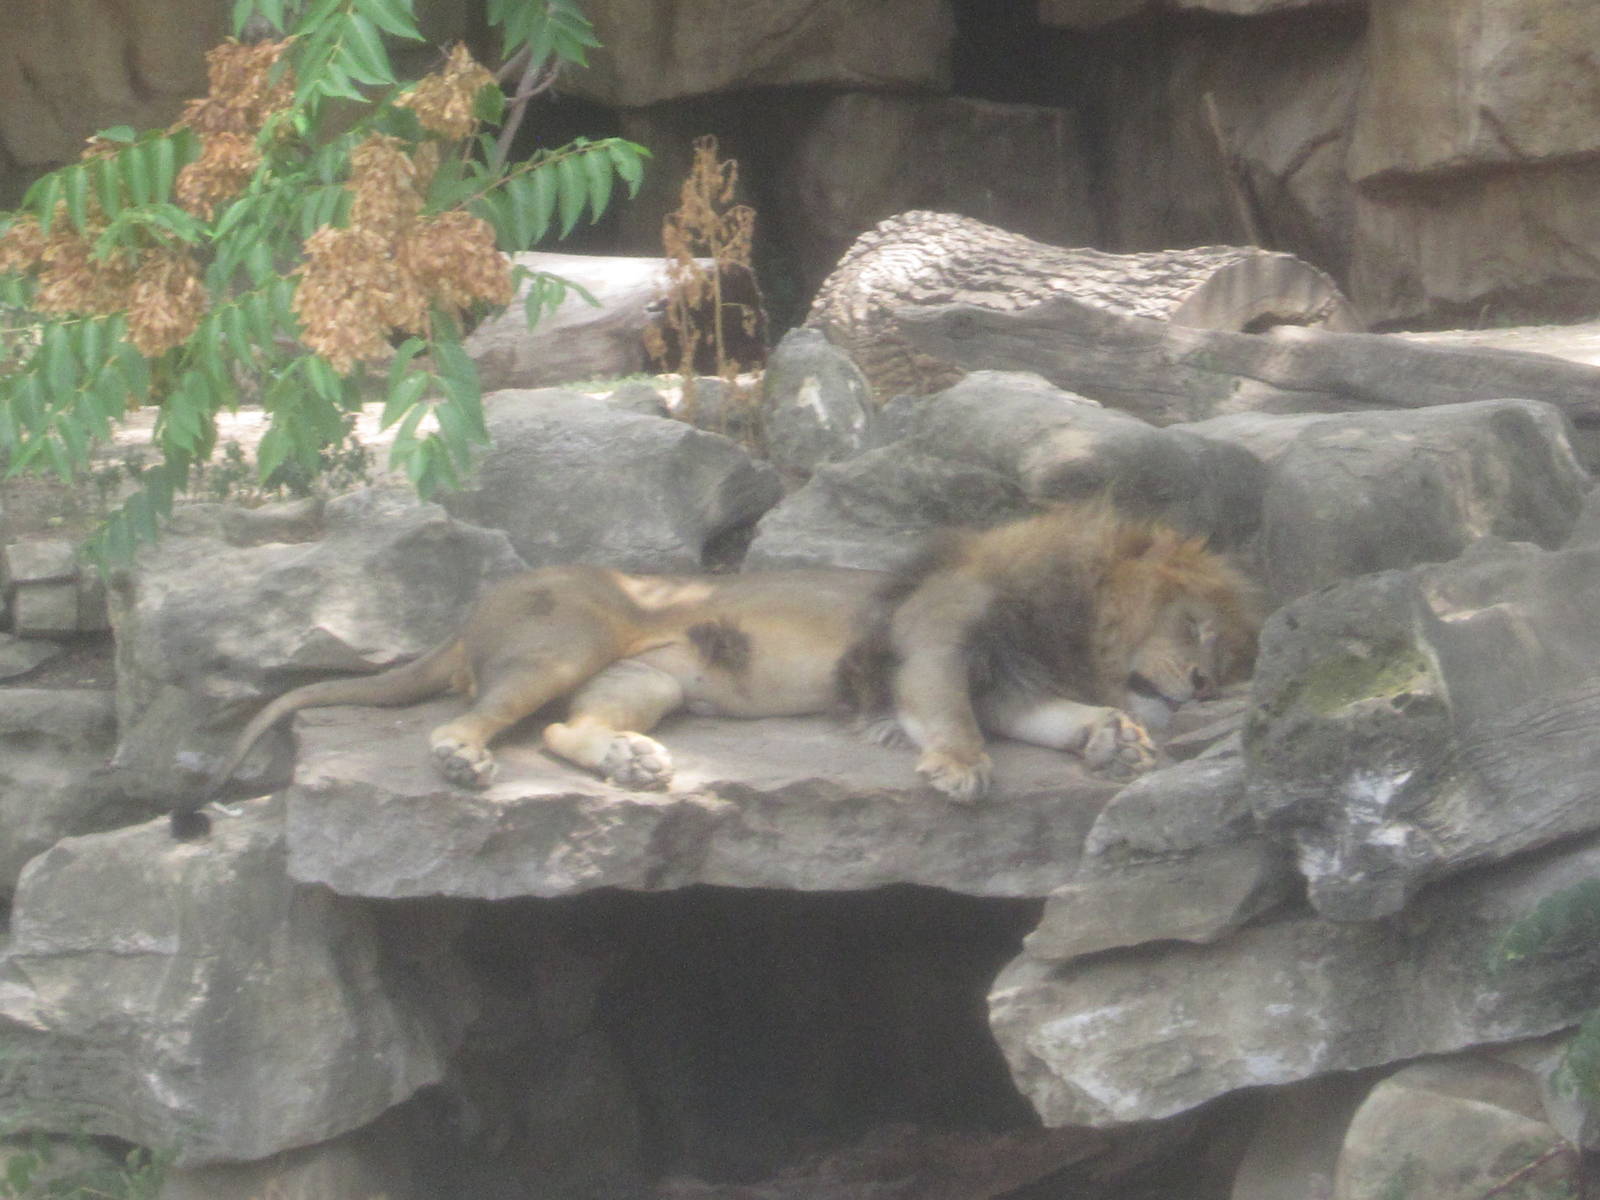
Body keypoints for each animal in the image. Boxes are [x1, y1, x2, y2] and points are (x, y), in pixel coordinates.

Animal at [173, 503, 1258, 837]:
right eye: (1199, 631)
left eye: (1236, 659)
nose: (1207, 690)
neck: (1073, 625)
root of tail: (469, 608)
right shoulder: (934, 640)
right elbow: (947, 716)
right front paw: (958, 769)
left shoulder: (1015, 685)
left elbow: (1058, 718)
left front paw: (1115, 737)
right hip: (567, 641)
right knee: (477, 720)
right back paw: (462, 761)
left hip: (652, 679)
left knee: (565, 730)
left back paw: (633, 767)